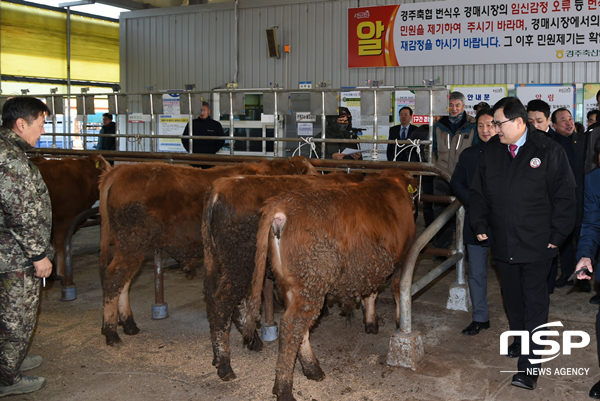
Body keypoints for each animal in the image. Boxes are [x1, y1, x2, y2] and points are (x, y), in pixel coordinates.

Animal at [98, 155, 316, 344]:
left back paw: (128, 324)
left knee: (123, 282)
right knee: (113, 279)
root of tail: (122, 169)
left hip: (129, 246)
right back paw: (111, 332)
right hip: (132, 244)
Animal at [203, 170, 360, 380]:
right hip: (239, 263)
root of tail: (221, 187)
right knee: (222, 304)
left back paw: (251, 342)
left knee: (230, 302)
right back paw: (225, 365)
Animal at [244, 168, 418, 400]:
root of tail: (280, 206)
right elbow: (398, 290)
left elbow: (370, 293)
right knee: (291, 325)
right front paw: (399, 322)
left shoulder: (369, 265)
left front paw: (370, 322)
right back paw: (284, 388)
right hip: (312, 284)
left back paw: (312, 369)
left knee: (300, 328)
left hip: (294, 286)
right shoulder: (401, 259)